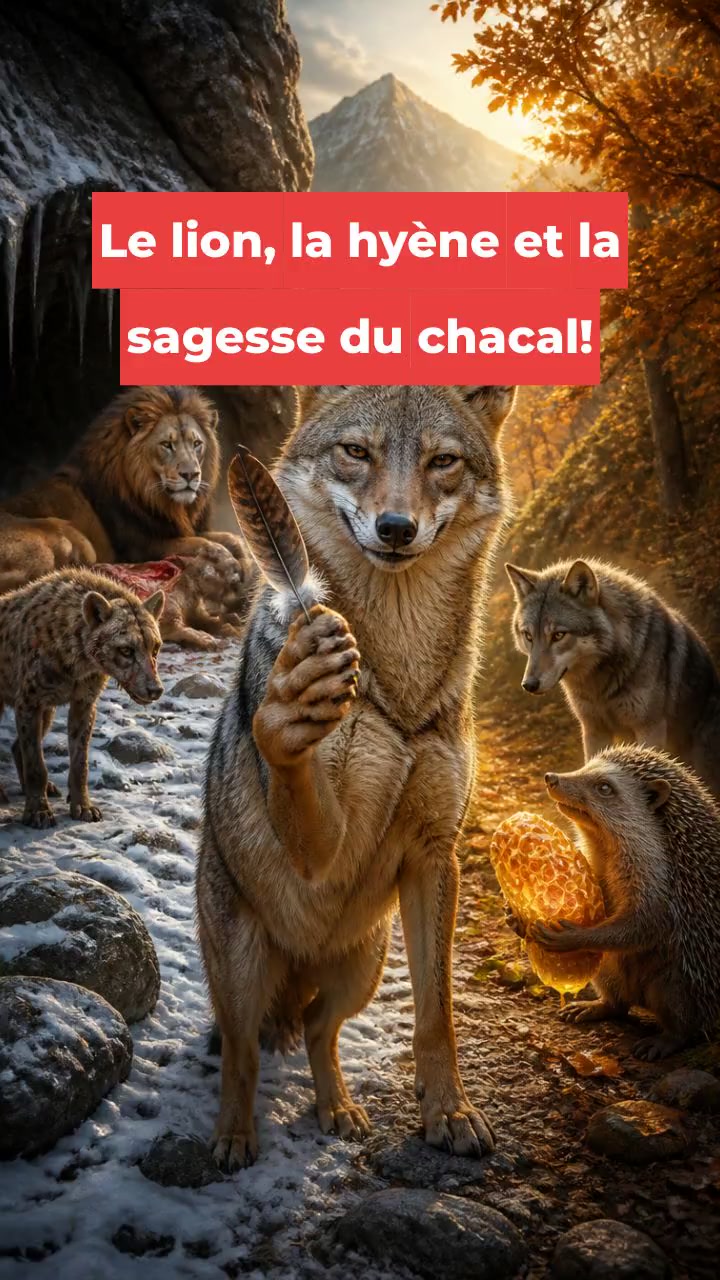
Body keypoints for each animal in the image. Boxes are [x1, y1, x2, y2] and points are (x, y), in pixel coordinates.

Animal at [0, 386, 251, 595]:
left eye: (196, 444)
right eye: (167, 445)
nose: (191, 475)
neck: (162, 500)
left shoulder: (178, 529)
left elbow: (230, 538)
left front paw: (246, 559)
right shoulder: (143, 546)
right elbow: (203, 545)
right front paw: (230, 565)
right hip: (73, 538)